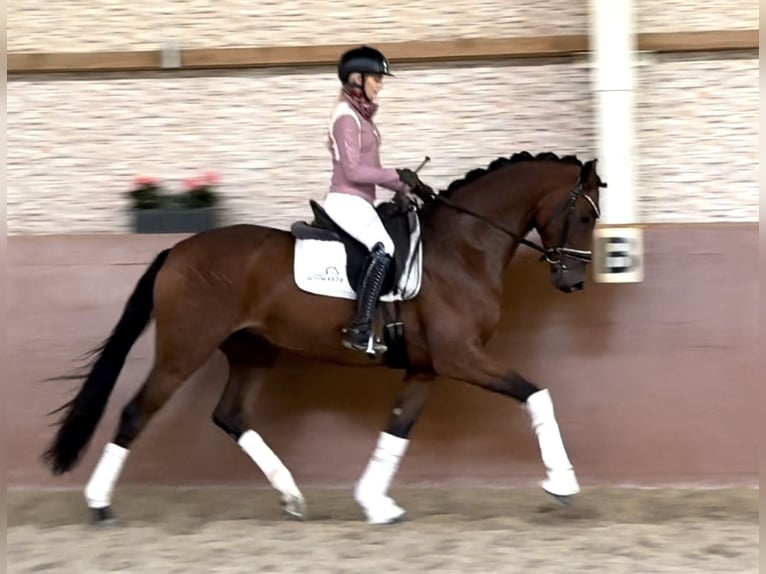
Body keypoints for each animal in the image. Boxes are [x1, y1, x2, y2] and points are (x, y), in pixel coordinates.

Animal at [42, 152, 608, 528]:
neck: (460, 251)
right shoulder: (462, 358)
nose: (573, 282)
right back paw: (100, 505)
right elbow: (537, 395)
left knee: (230, 415)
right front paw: (563, 484)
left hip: (253, 353)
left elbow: (396, 431)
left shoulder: (425, 368)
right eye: (583, 215)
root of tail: (177, 251)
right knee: (136, 413)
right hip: (184, 352)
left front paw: (375, 503)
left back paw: (292, 498)